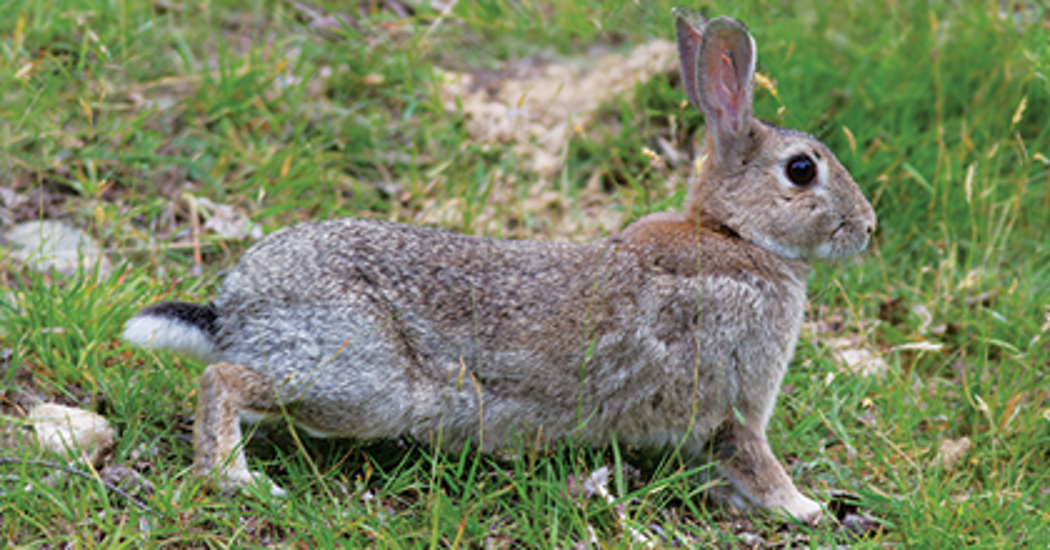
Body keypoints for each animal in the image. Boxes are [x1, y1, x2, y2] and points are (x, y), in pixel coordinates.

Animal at [123, 8, 875, 525]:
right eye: (802, 170)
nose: (868, 228)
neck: (736, 236)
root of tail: (234, 309)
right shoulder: (736, 401)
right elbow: (757, 461)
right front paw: (808, 509)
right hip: (362, 381)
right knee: (222, 380)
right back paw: (235, 477)